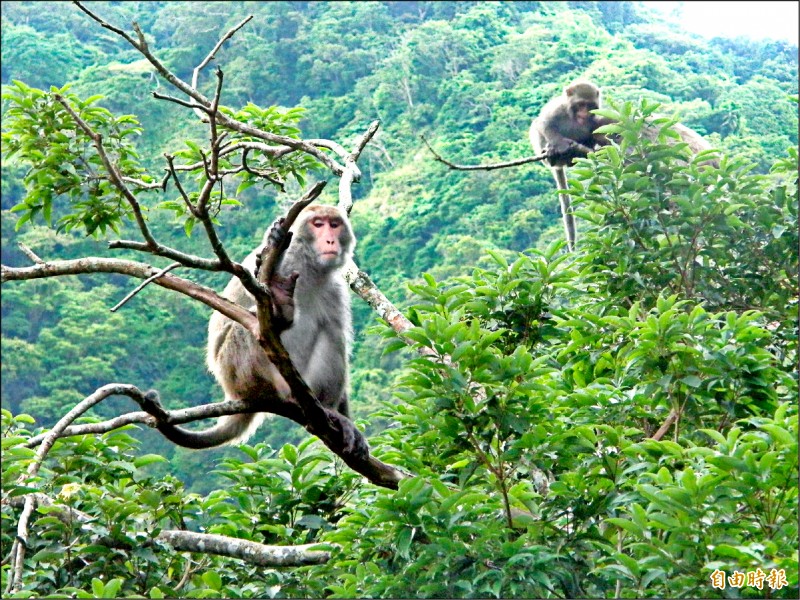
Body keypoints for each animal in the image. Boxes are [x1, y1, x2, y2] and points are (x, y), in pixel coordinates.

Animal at [152, 204, 356, 448]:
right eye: (318, 224)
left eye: (334, 225)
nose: (330, 240)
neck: (309, 266)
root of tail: (234, 394)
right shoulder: (264, 263)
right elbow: (252, 289)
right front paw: (276, 238)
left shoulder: (335, 289)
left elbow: (335, 327)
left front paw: (346, 420)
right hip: (239, 373)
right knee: (250, 325)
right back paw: (280, 312)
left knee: (332, 332)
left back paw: (328, 410)